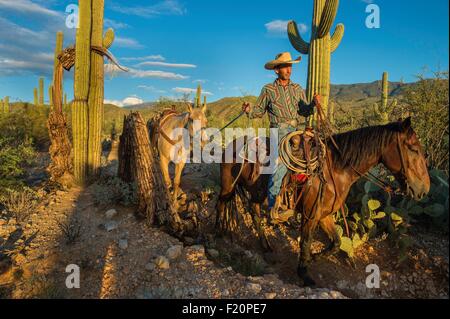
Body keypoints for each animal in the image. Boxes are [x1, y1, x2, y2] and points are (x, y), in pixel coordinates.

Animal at [216, 117, 430, 288]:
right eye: (413, 148)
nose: (424, 189)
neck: (336, 170)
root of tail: (232, 144)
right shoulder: (310, 215)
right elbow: (306, 242)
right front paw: (304, 274)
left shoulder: (324, 215)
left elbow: (336, 242)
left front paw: (314, 258)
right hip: (228, 187)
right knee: (221, 205)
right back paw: (218, 234)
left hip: (256, 192)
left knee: (253, 211)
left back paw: (265, 245)